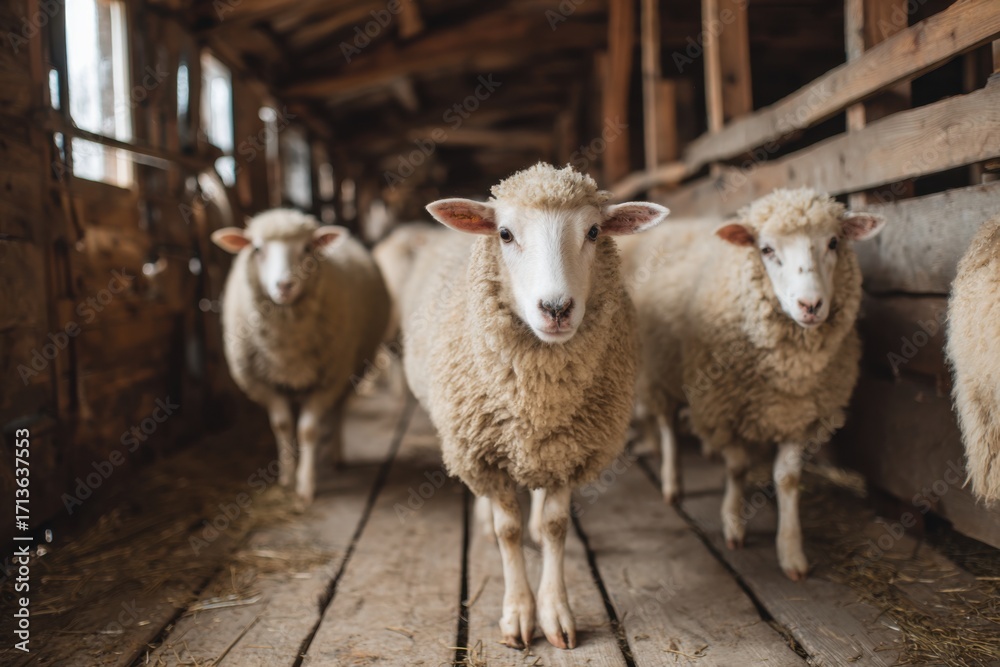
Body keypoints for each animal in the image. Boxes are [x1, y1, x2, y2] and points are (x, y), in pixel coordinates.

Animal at [211, 209, 390, 506]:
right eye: (257, 249)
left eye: (307, 248)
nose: (285, 285)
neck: (287, 345)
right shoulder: (263, 383)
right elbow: (282, 425)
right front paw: (287, 478)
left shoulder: (328, 380)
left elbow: (307, 430)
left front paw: (306, 486)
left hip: (349, 371)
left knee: (338, 410)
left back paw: (337, 455)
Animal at [402, 163, 668, 650]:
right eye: (505, 234)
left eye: (594, 231)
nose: (556, 308)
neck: (540, 398)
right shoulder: (486, 453)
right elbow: (507, 531)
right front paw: (518, 614)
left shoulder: (570, 450)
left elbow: (554, 527)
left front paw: (555, 612)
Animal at [624, 188, 885, 580]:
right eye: (766, 249)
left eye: (834, 242)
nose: (810, 305)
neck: (789, 369)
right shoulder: (725, 408)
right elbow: (737, 468)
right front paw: (733, 524)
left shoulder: (800, 414)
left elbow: (787, 478)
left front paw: (791, 552)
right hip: (660, 369)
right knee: (667, 424)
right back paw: (672, 482)